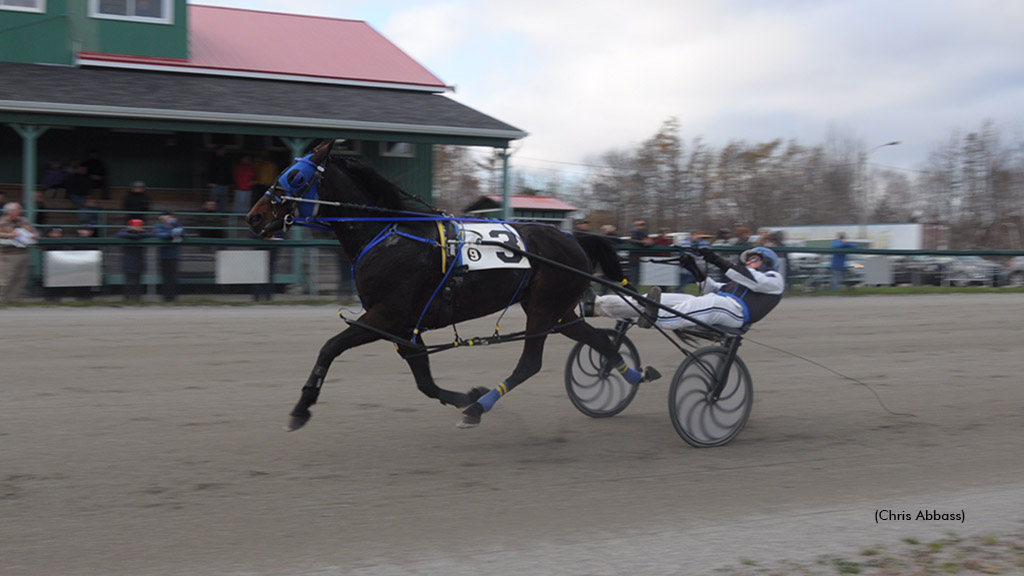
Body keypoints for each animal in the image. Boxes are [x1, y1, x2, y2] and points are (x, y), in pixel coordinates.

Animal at [243, 139, 651, 428]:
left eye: (295, 177)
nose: (254, 216)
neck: (387, 234)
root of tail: (575, 238)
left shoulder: (386, 316)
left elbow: (329, 348)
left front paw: (301, 407)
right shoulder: (403, 325)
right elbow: (423, 378)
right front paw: (465, 395)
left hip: (543, 309)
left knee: (530, 363)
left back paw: (480, 409)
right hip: (560, 312)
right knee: (599, 341)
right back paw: (631, 374)